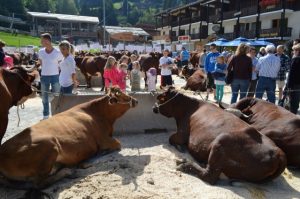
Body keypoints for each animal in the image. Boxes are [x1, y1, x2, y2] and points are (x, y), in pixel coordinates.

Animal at [0, 87, 137, 190]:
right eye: (122, 96)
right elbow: (118, 144)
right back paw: (67, 171)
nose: (135, 100)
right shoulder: (104, 139)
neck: (98, 114)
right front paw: (100, 153)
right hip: (49, 144)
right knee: (39, 183)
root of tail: (3, 150)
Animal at [154, 88, 288, 184]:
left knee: (210, 176)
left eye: (160, 98)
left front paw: (180, 147)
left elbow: (171, 139)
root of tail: (278, 152)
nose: (153, 107)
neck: (188, 108)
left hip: (221, 141)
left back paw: (186, 164)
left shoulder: (182, 133)